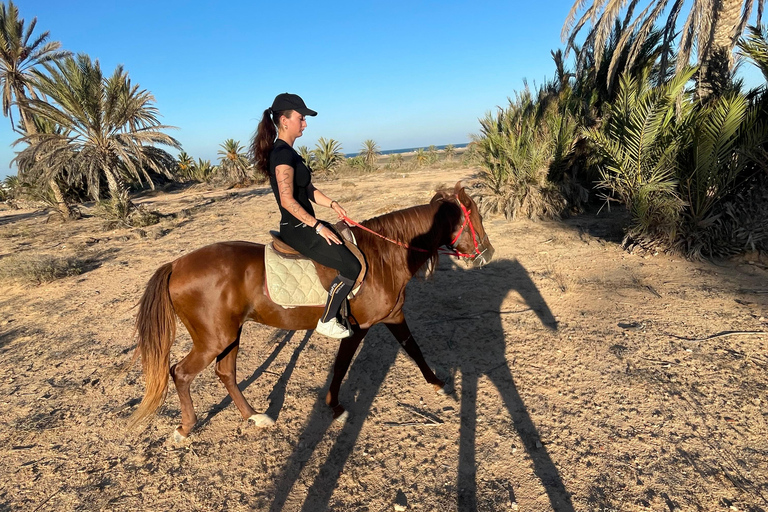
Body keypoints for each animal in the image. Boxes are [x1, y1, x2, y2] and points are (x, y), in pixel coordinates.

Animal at [130, 181, 494, 440]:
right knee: (180, 372)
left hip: (230, 334)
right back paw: (186, 428)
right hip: (213, 339)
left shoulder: (393, 316)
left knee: (225, 373)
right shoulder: (359, 327)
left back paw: (255, 417)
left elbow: (413, 348)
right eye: (475, 218)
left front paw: (439, 383)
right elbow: (341, 367)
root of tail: (176, 265)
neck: (383, 256)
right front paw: (335, 408)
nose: (488, 253)